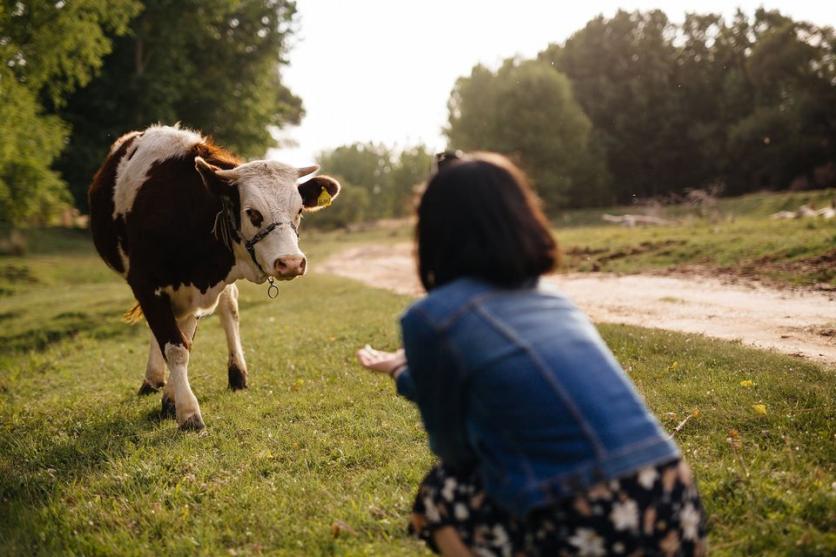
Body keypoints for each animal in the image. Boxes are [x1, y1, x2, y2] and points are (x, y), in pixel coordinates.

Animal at [88, 125, 340, 430]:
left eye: (299, 211)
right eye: (252, 213)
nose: (291, 262)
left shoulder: (196, 292)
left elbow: (184, 342)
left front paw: (173, 401)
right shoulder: (146, 285)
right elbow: (175, 347)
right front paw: (188, 412)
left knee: (228, 310)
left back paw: (235, 374)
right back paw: (153, 379)